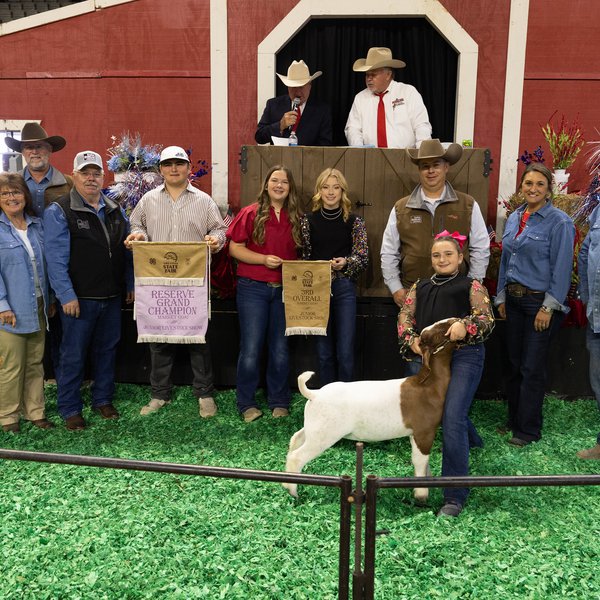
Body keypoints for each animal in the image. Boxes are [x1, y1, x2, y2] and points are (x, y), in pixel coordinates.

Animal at [282, 316, 460, 500]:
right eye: (439, 332)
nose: (456, 320)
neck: (428, 386)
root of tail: (314, 394)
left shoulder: (414, 433)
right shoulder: (424, 431)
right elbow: (420, 460)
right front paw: (421, 494)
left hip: (314, 427)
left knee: (295, 439)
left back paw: (286, 482)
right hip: (324, 434)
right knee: (297, 456)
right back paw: (293, 491)